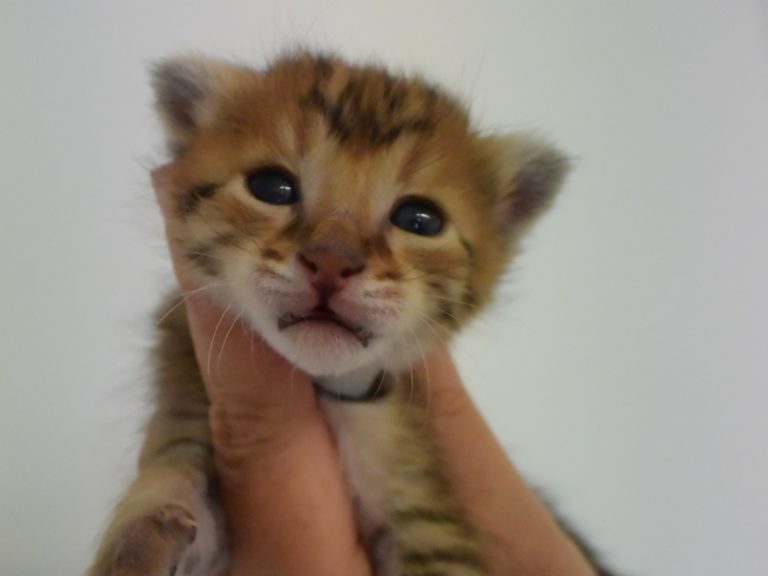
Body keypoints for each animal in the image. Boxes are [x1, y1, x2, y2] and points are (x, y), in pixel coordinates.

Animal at [87, 51, 614, 576]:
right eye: (271, 187)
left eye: (420, 220)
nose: (331, 262)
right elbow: (174, 472)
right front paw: (141, 534)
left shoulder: (425, 515)